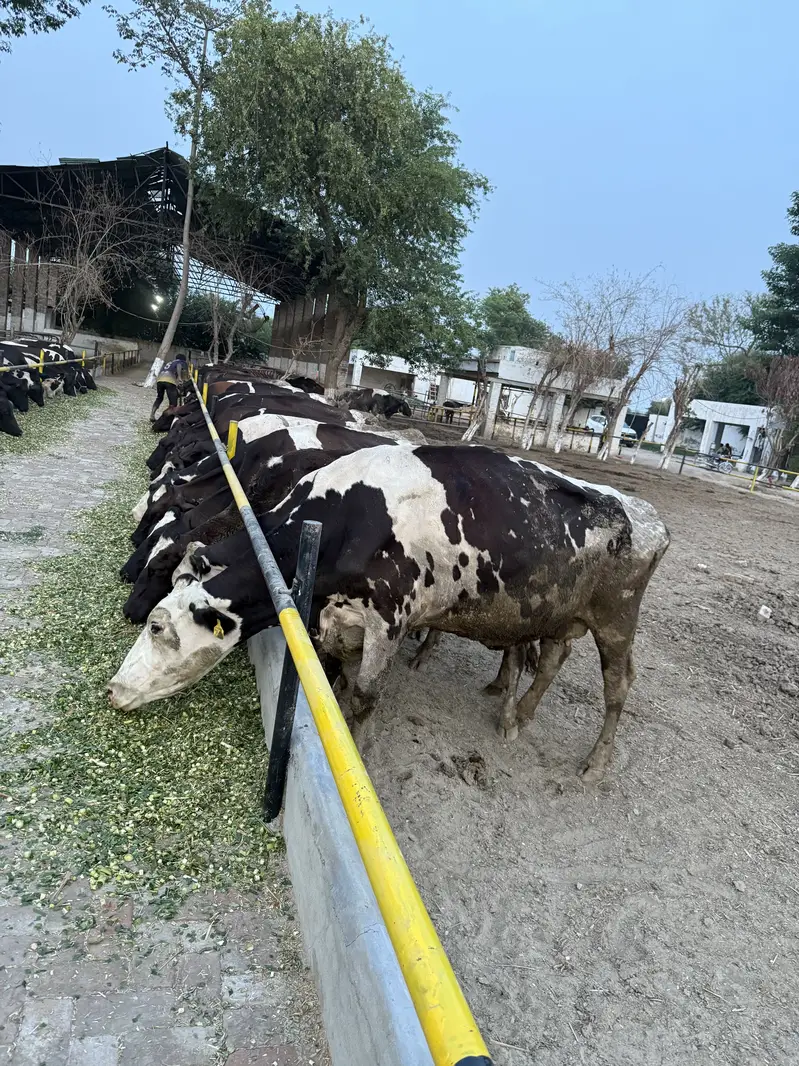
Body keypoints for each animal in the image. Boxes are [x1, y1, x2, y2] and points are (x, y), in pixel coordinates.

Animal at [108, 446, 669, 781]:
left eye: (157, 626)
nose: (113, 689)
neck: (345, 518)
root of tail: (647, 515)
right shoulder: (328, 620)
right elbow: (333, 677)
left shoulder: (389, 620)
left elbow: (364, 696)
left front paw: (357, 751)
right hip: (554, 612)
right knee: (548, 659)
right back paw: (518, 714)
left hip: (616, 620)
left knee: (618, 684)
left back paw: (595, 761)